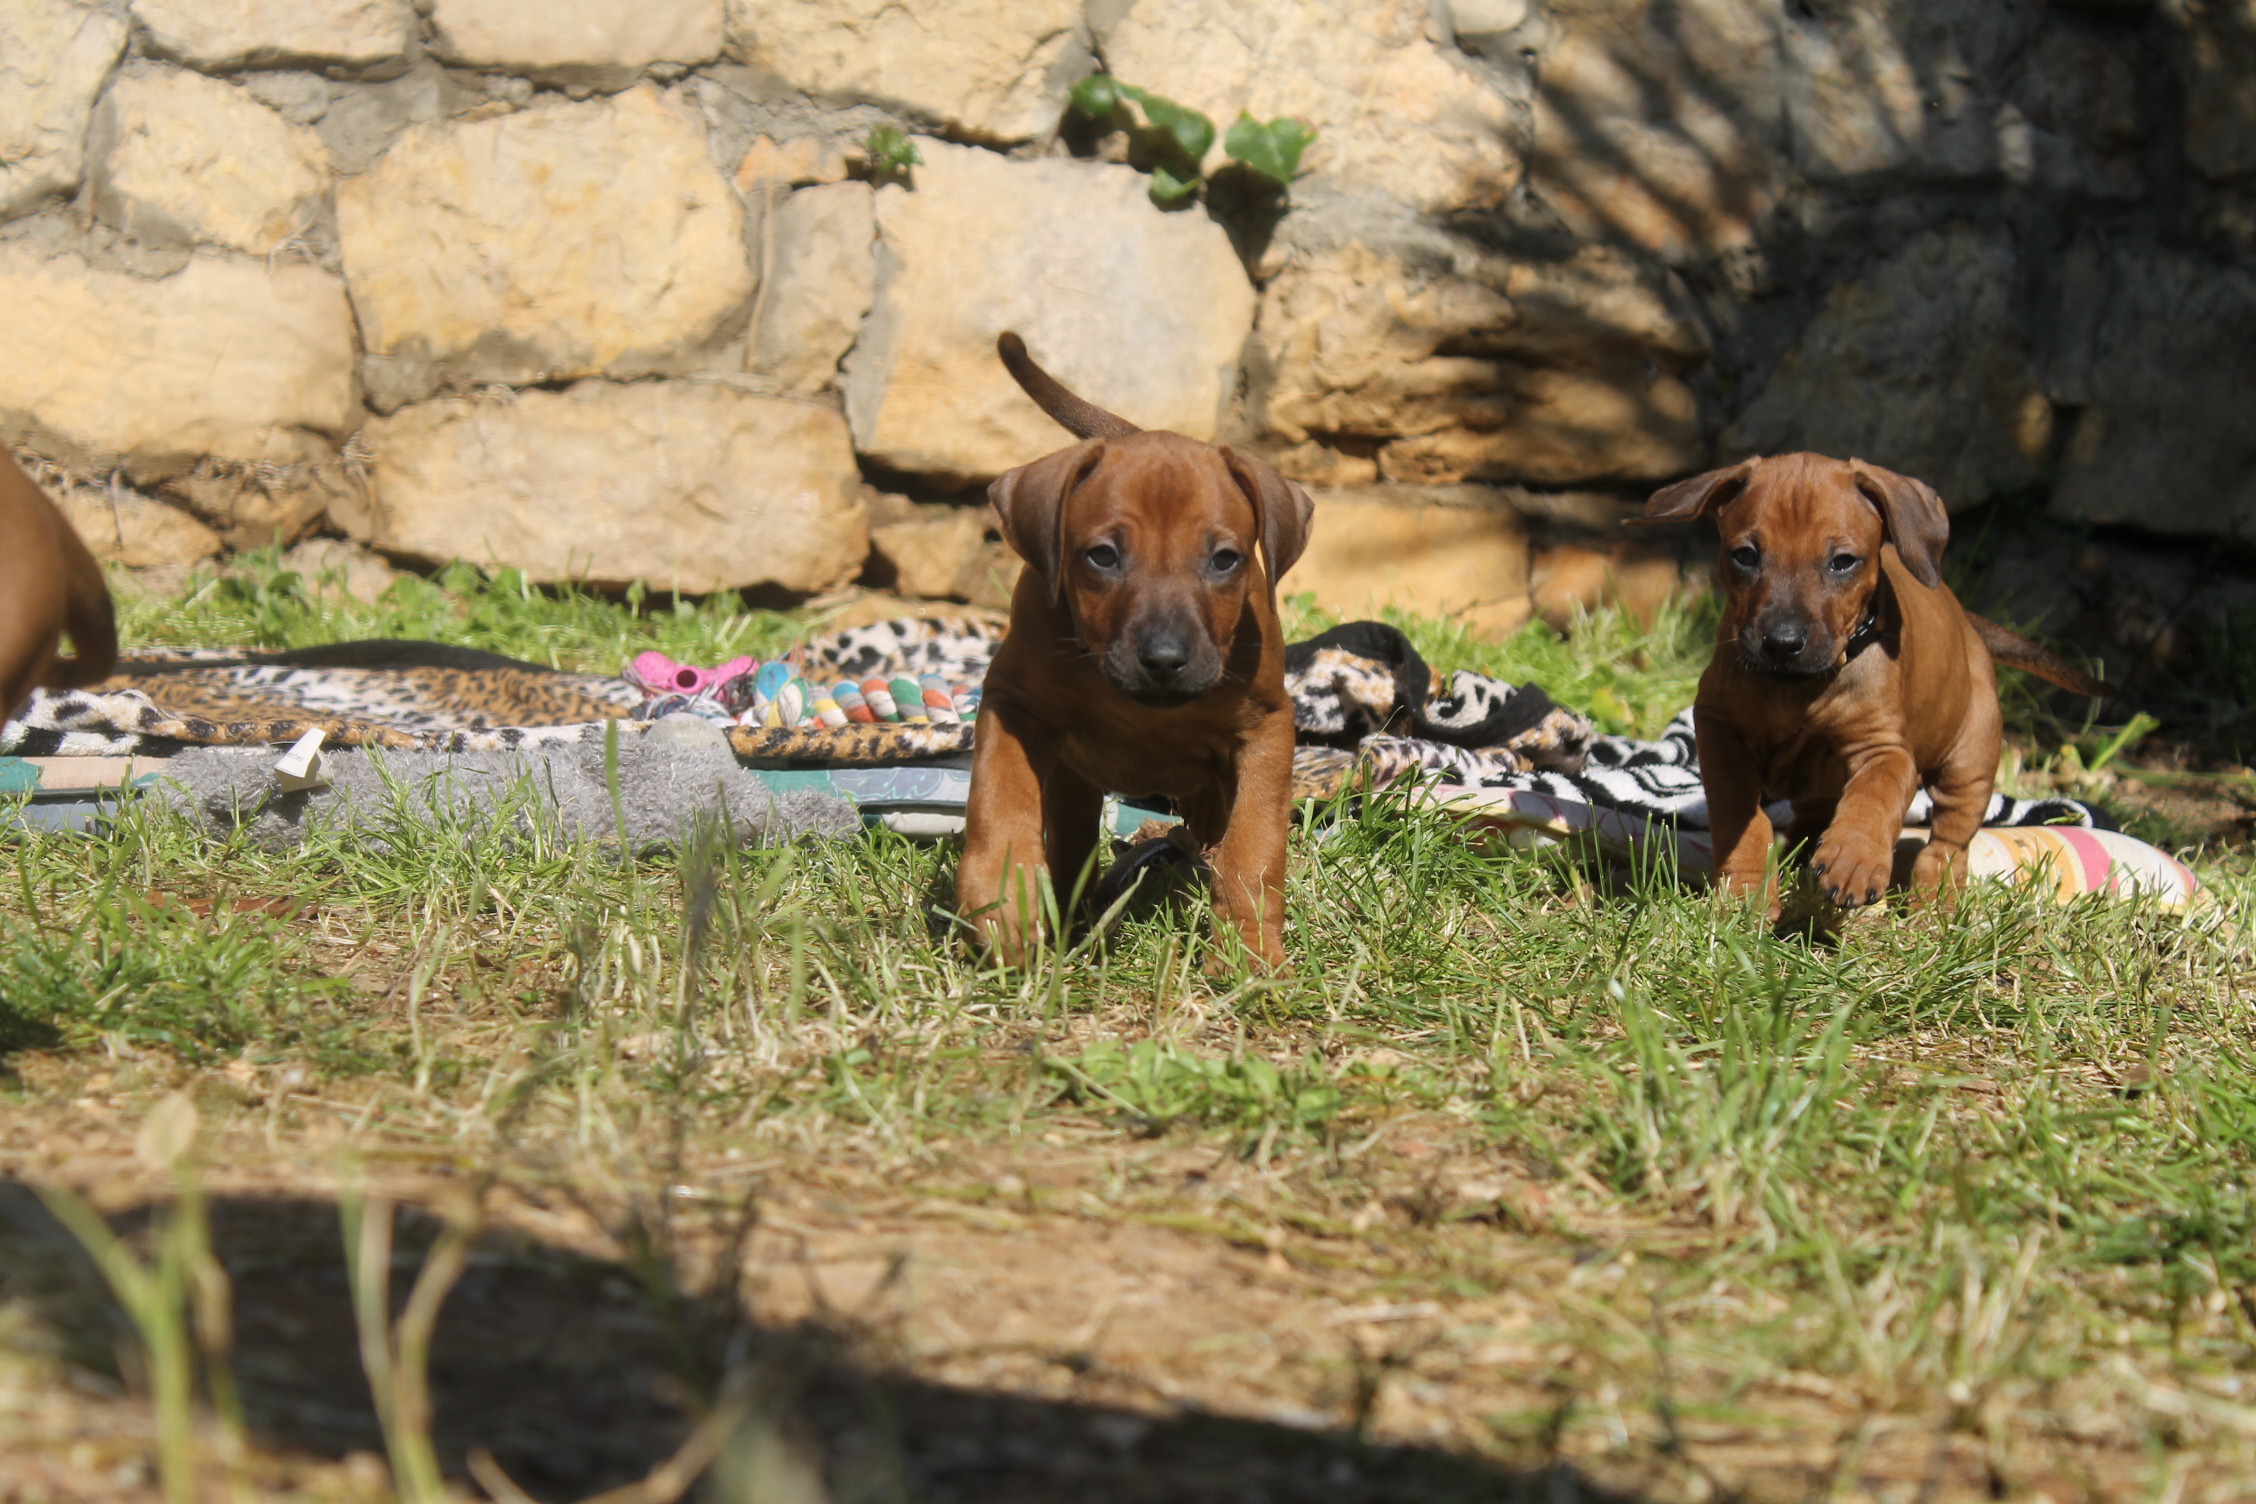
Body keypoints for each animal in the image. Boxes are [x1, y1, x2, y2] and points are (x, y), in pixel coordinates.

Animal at [956, 333, 1313, 970]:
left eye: (1225, 559)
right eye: (1102, 556)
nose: (1165, 658)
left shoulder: (1269, 728)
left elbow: (1254, 843)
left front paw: (1248, 951)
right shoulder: (1013, 702)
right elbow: (1000, 792)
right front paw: (1005, 894)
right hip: (1073, 780)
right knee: (1072, 837)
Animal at [1631, 452, 2111, 916]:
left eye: (1843, 562)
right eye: (1745, 556)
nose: (1783, 643)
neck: (1798, 689)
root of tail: (1966, 623)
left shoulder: (1886, 749)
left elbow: (1875, 794)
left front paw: (1855, 858)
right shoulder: (1718, 727)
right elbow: (1741, 815)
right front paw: (1747, 891)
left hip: (1970, 756)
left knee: (1948, 843)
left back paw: (1934, 905)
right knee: (1813, 817)